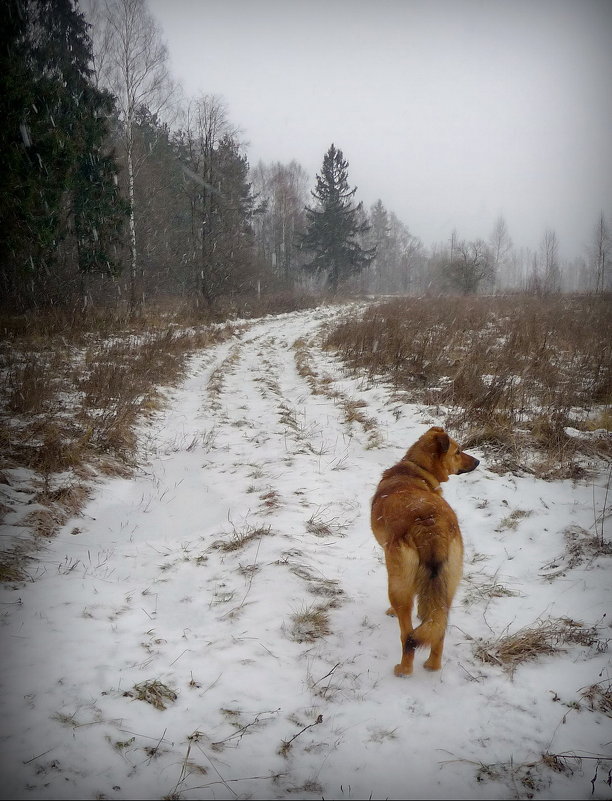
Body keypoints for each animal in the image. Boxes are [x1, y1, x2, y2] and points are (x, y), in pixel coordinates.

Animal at [370, 424, 480, 676]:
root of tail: (431, 527)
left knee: (407, 635)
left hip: (398, 585)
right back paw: (432, 665)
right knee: (438, 629)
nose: (478, 461)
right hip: (449, 583)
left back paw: (404, 669)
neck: (417, 470)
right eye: (458, 451)